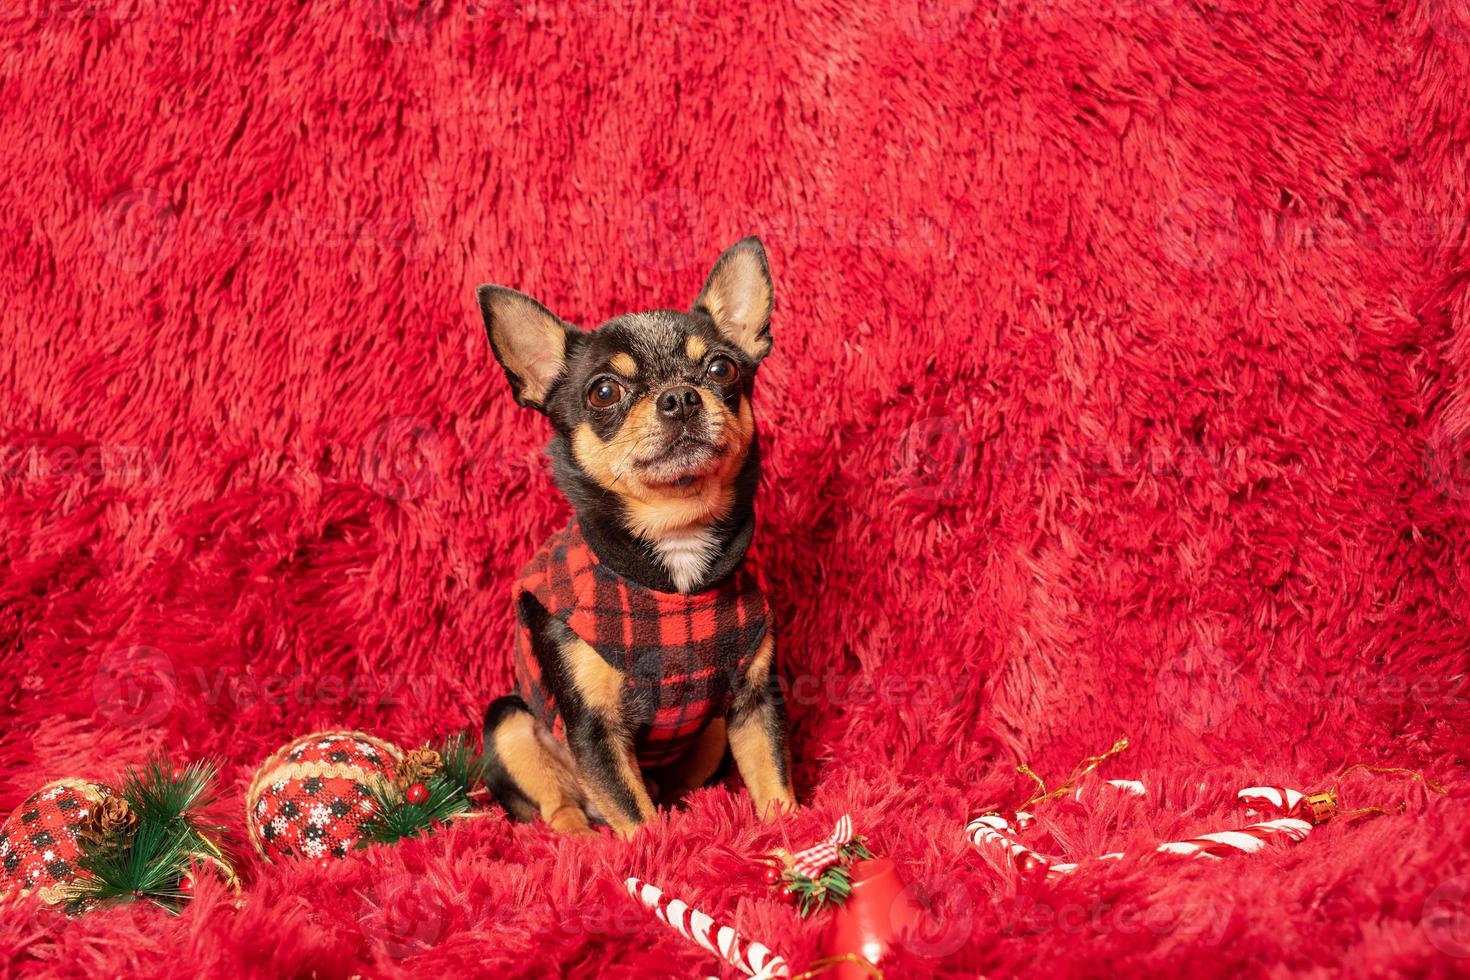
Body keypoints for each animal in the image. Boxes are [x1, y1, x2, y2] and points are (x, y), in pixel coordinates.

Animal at [476, 235, 799, 834]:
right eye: (604, 391)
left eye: (721, 368)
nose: (680, 396)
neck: (673, 556)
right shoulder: (593, 732)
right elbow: (634, 816)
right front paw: (660, 850)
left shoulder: (753, 701)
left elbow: (773, 780)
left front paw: (794, 833)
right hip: (509, 720)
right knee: (562, 805)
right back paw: (580, 838)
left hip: (711, 732)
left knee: (673, 786)